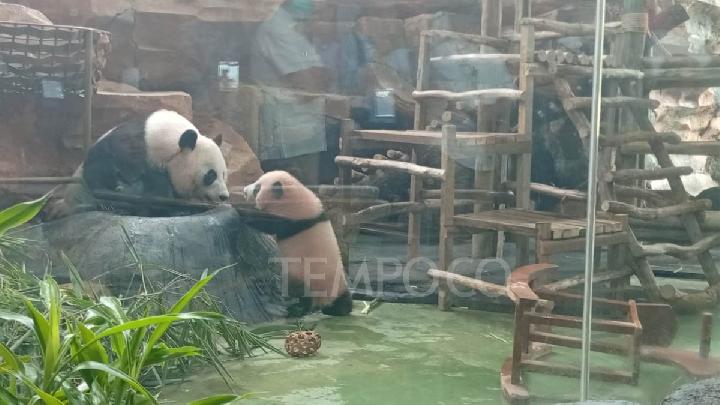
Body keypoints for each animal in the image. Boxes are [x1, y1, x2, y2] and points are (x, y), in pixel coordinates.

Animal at [242, 171, 353, 316]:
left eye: (257, 189)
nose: (244, 191)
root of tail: (323, 301)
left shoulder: (291, 220)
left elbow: (266, 222)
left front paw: (239, 211)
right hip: (339, 284)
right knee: (343, 299)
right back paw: (341, 308)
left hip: (305, 277)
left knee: (300, 293)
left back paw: (296, 309)